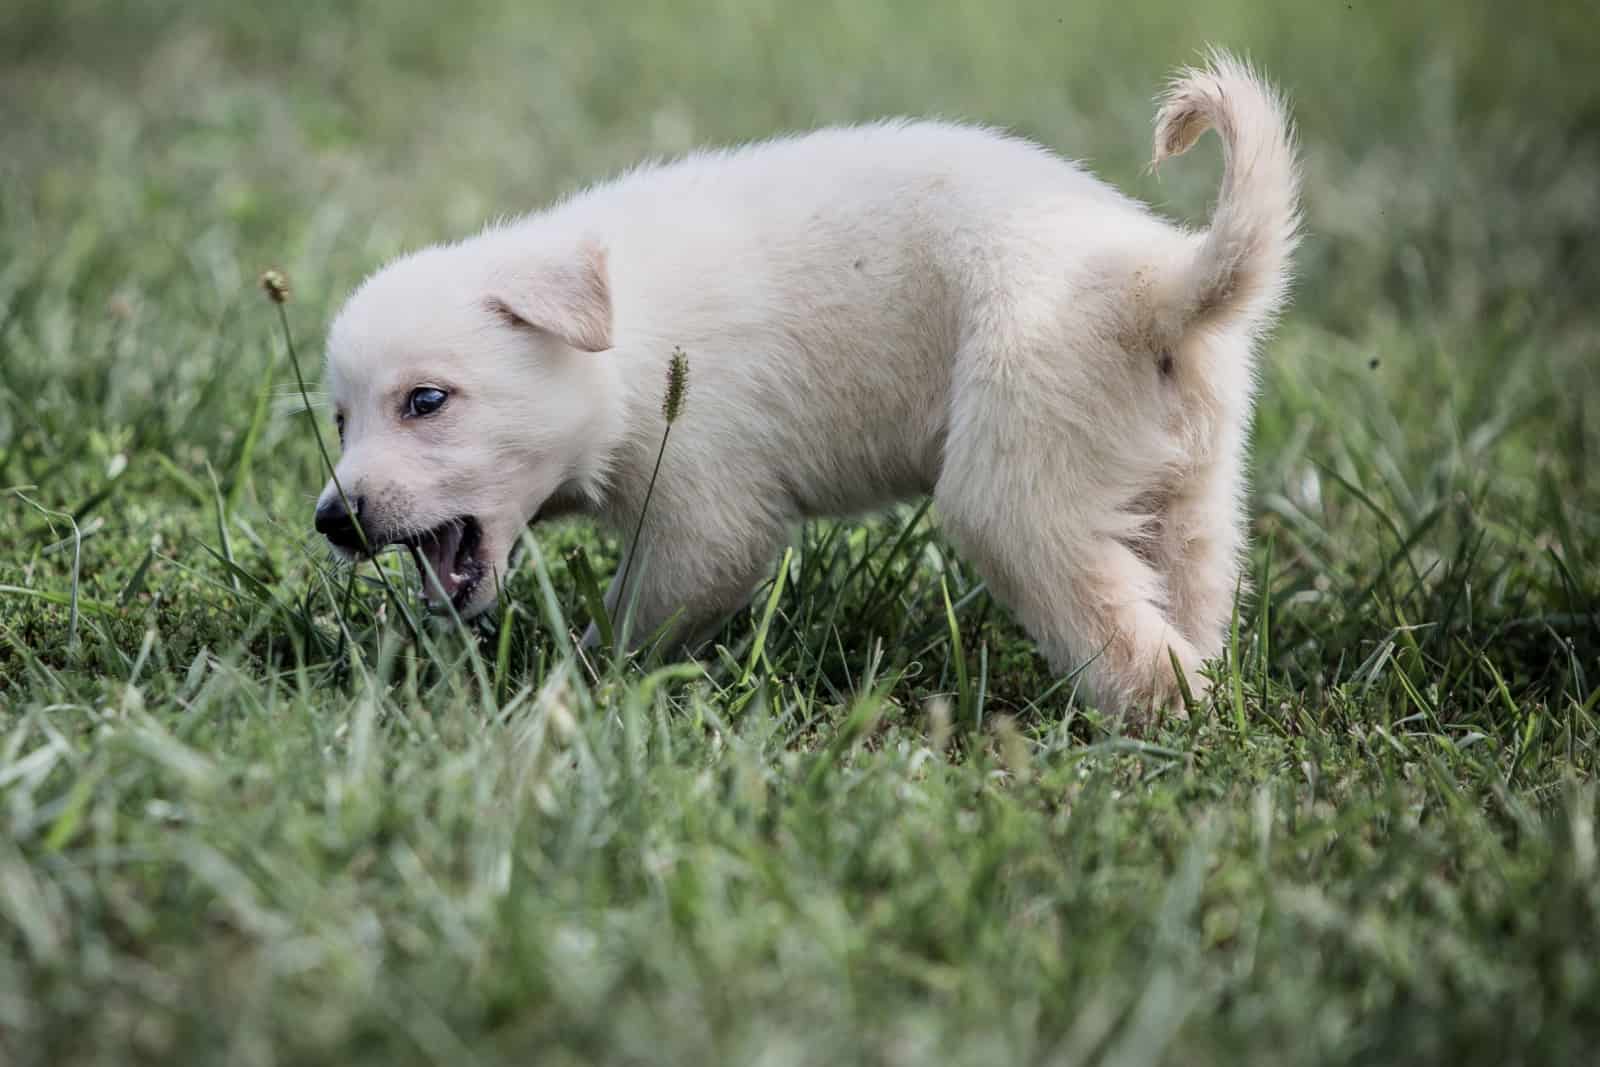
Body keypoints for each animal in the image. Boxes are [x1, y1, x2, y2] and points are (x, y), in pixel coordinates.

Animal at [315, 51, 1299, 716]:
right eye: (339, 420)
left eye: (426, 401)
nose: (331, 520)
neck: (622, 341)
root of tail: (1150, 280)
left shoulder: (708, 515)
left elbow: (639, 614)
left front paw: (576, 683)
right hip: (1193, 493)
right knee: (1188, 601)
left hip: (1017, 495)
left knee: (1131, 645)